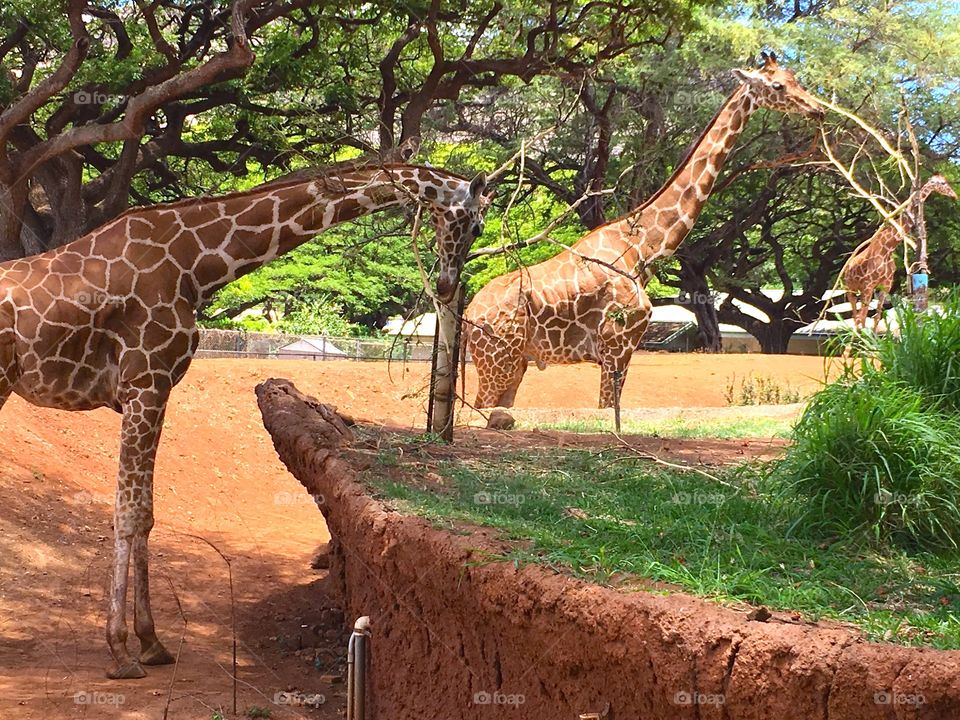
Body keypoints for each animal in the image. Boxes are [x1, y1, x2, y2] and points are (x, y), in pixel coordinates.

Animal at [0, 161, 489, 679]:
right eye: (477, 224)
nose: (446, 286)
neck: (195, 265)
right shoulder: (145, 385)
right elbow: (129, 516)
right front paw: (120, 651)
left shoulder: (154, 391)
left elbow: (146, 514)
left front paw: (151, 642)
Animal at [463, 53, 823, 409]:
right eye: (777, 86)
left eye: (795, 79)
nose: (817, 109)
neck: (643, 248)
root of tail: (469, 316)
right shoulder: (617, 346)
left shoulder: (619, 351)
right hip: (498, 363)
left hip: (515, 365)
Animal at [842, 174, 957, 330]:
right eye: (943, 183)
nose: (955, 195)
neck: (888, 249)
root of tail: (847, 267)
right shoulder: (868, 284)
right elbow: (863, 317)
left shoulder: (885, 285)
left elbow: (877, 316)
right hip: (850, 288)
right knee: (856, 315)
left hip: (861, 289)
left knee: (860, 316)